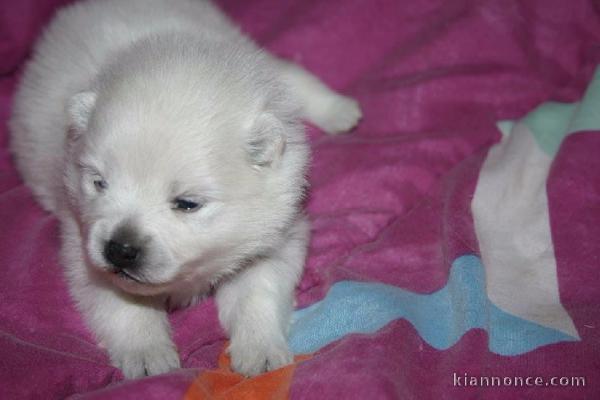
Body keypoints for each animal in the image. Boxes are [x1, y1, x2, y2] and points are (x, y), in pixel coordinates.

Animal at [8, 0, 360, 378]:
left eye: (187, 203)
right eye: (99, 183)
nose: (119, 249)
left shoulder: (275, 234)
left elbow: (259, 290)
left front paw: (260, 352)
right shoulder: (81, 242)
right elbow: (123, 303)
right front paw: (148, 355)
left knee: (289, 74)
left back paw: (341, 110)